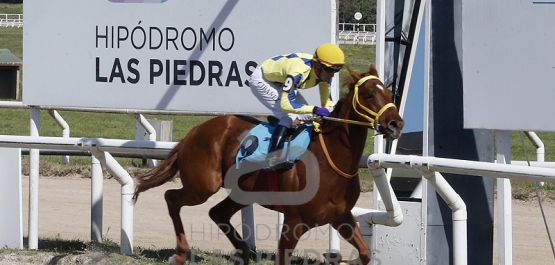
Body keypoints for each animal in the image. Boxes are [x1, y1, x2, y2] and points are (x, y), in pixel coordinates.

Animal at [135, 64, 404, 264]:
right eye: (369, 94)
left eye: (391, 95)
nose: (396, 124)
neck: (331, 162)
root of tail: (194, 132)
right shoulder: (294, 222)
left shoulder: (341, 217)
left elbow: (365, 253)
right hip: (202, 186)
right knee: (172, 198)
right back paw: (181, 254)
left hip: (243, 192)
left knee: (216, 212)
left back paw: (243, 252)